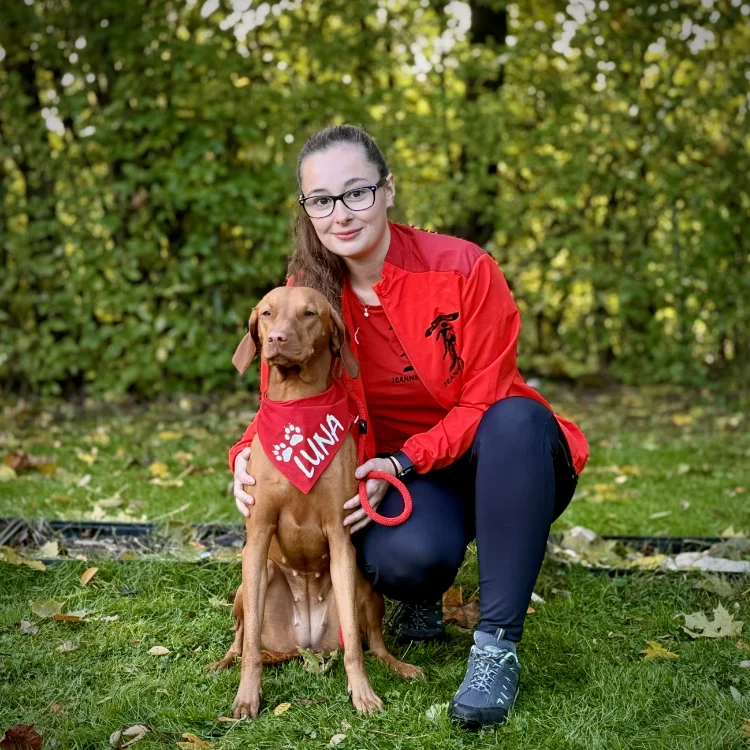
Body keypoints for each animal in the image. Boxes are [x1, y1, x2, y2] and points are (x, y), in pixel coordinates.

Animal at [209, 284, 426, 720]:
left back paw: (401, 666)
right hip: (250, 585)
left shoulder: (341, 541)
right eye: (267, 313)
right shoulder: (257, 537)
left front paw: (363, 694)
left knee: (374, 643)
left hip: (364, 586)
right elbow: (250, 645)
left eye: (309, 313)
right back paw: (224, 661)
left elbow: (356, 648)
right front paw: (247, 696)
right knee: (242, 637)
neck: (299, 405)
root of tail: (304, 645)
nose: (276, 339)